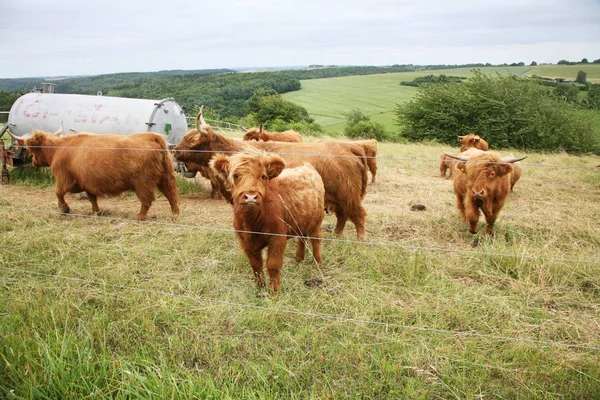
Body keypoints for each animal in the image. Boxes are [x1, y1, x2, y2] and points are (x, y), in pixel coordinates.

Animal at [25, 130, 178, 220]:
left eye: (33, 149)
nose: (32, 161)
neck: (58, 149)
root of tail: (150, 136)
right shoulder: (87, 182)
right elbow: (92, 198)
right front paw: (96, 212)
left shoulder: (63, 177)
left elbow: (58, 193)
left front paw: (64, 208)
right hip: (164, 176)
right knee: (171, 194)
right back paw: (175, 213)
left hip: (142, 182)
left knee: (147, 200)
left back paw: (139, 217)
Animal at [173, 110, 368, 241]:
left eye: (192, 140)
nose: (174, 150)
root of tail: (349, 146)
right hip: (339, 197)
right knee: (343, 215)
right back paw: (336, 235)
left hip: (348, 194)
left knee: (358, 215)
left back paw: (360, 240)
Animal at [210, 152, 324, 292]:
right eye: (236, 175)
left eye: (263, 176)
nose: (251, 196)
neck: (252, 222)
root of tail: (307, 166)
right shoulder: (246, 242)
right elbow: (256, 265)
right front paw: (260, 288)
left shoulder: (278, 237)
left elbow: (273, 265)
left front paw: (274, 291)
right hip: (301, 221)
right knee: (302, 238)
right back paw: (299, 258)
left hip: (317, 221)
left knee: (315, 239)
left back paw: (317, 262)